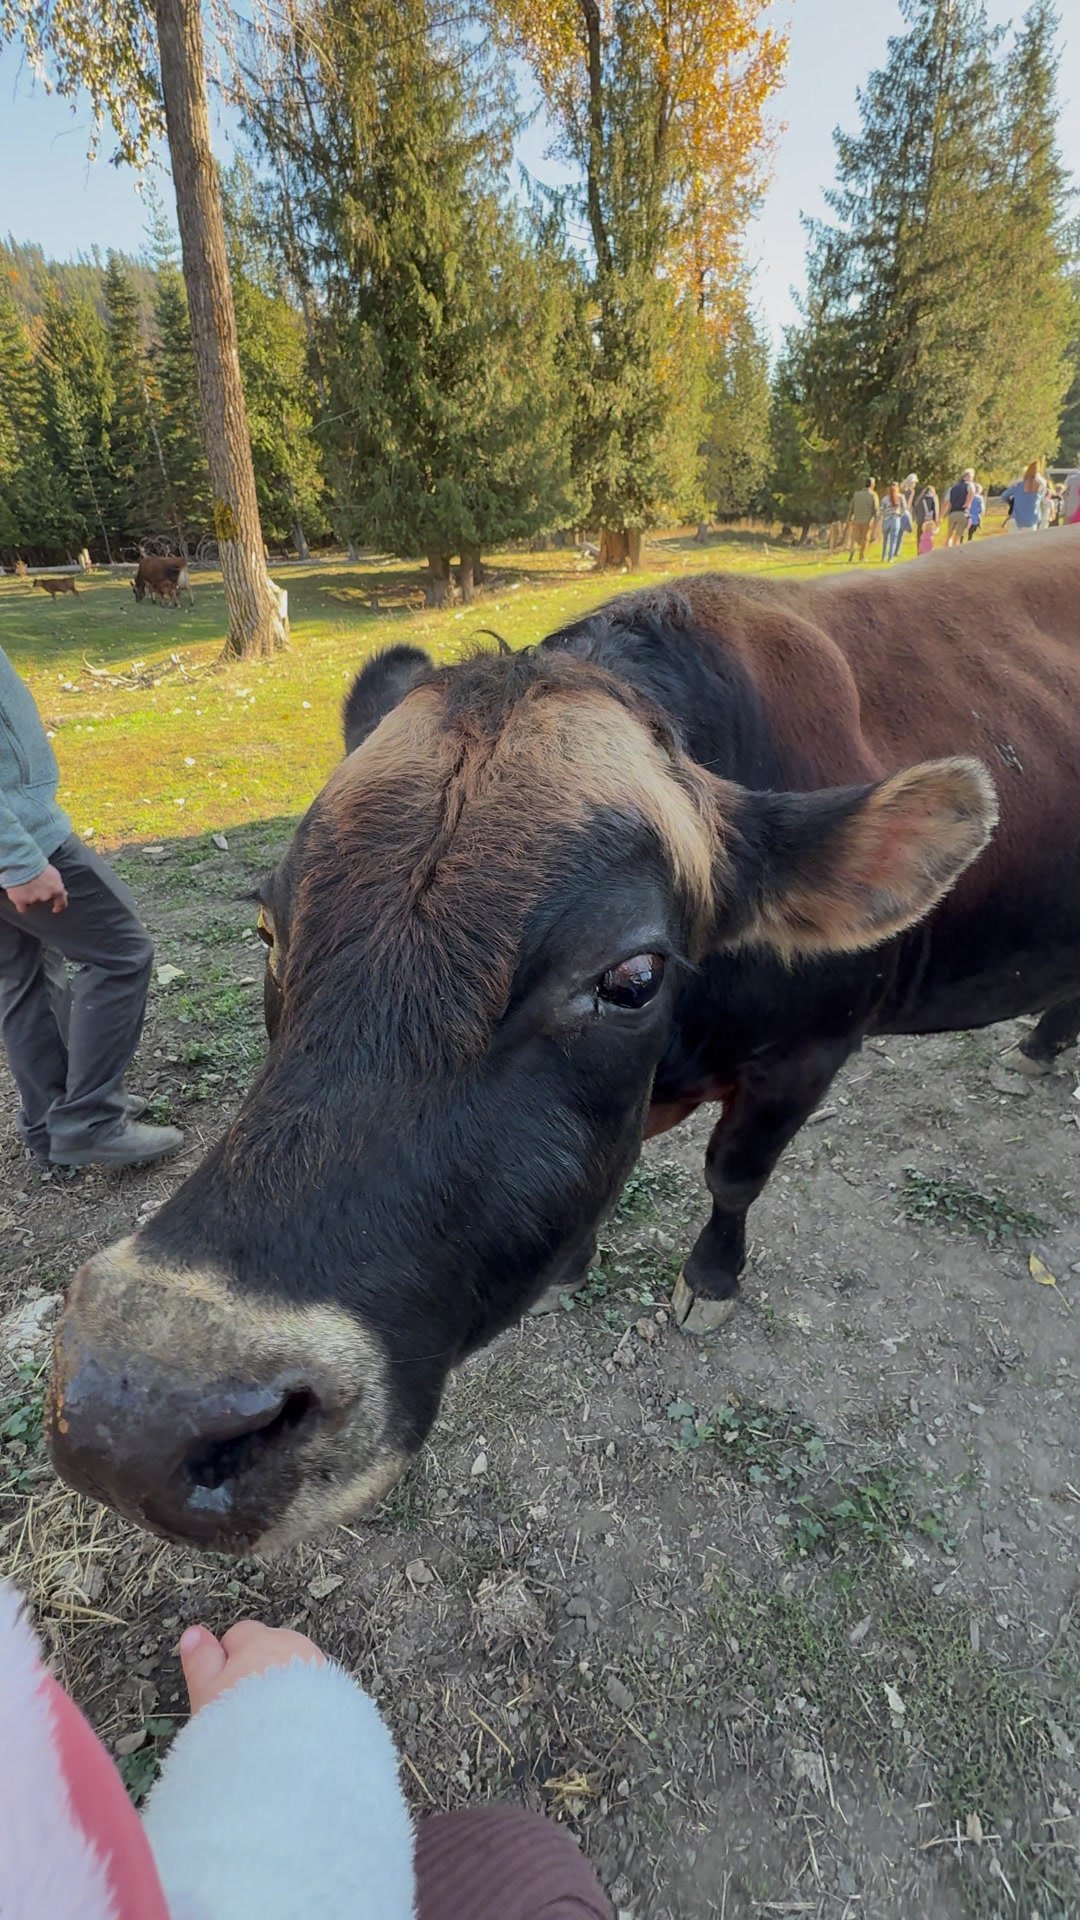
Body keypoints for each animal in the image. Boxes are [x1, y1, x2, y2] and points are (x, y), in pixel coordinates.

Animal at [48, 533, 1080, 1557]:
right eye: (269, 927)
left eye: (632, 977)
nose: (142, 1413)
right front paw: (574, 1262)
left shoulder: (808, 1053)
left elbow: (733, 1175)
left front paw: (710, 1278)